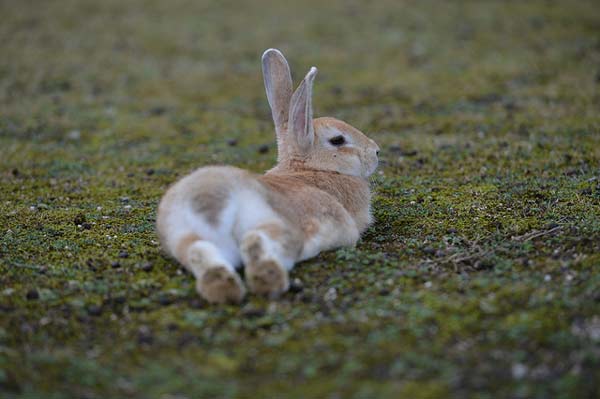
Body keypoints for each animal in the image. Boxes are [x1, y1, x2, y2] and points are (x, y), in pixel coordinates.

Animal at [156, 49, 380, 306]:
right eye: (338, 140)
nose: (376, 152)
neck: (309, 169)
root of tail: (210, 200)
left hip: (181, 235)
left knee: (199, 251)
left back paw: (224, 288)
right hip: (276, 222)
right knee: (255, 240)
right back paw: (269, 281)